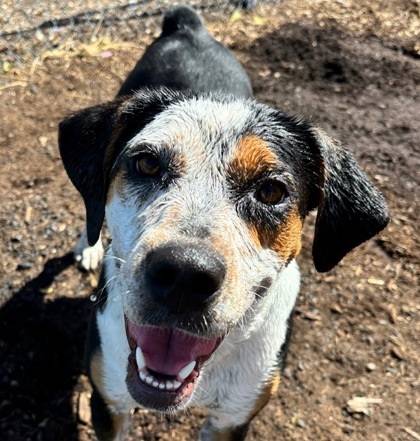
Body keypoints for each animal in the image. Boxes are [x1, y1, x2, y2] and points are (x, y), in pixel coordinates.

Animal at [57, 5, 388, 438]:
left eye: (271, 191)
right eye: (147, 163)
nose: (183, 274)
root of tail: (188, 25)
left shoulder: (234, 417)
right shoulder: (108, 401)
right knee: (92, 200)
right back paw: (90, 245)